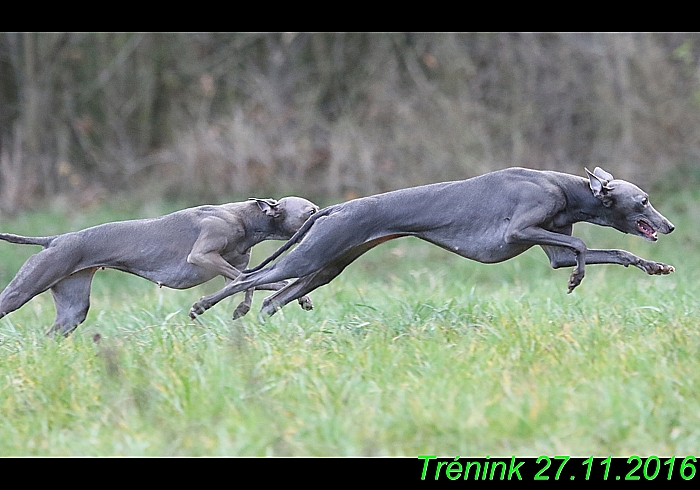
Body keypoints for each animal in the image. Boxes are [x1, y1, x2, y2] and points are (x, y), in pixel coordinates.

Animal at [0, 196, 318, 336]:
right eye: (311, 210)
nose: (324, 214)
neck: (246, 218)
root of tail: (53, 240)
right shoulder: (203, 255)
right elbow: (251, 280)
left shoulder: (232, 265)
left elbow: (248, 282)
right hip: (25, 288)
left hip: (72, 309)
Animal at [189, 167, 676, 320]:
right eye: (644, 201)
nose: (669, 226)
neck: (565, 188)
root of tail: (330, 210)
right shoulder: (520, 231)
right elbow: (581, 251)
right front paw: (576, 279)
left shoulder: (553, 246)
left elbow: (612, 252)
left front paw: (656, 267)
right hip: (308, 258)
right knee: (246, 281)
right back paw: (204, 307)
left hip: (325, 267)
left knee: (274, 299)